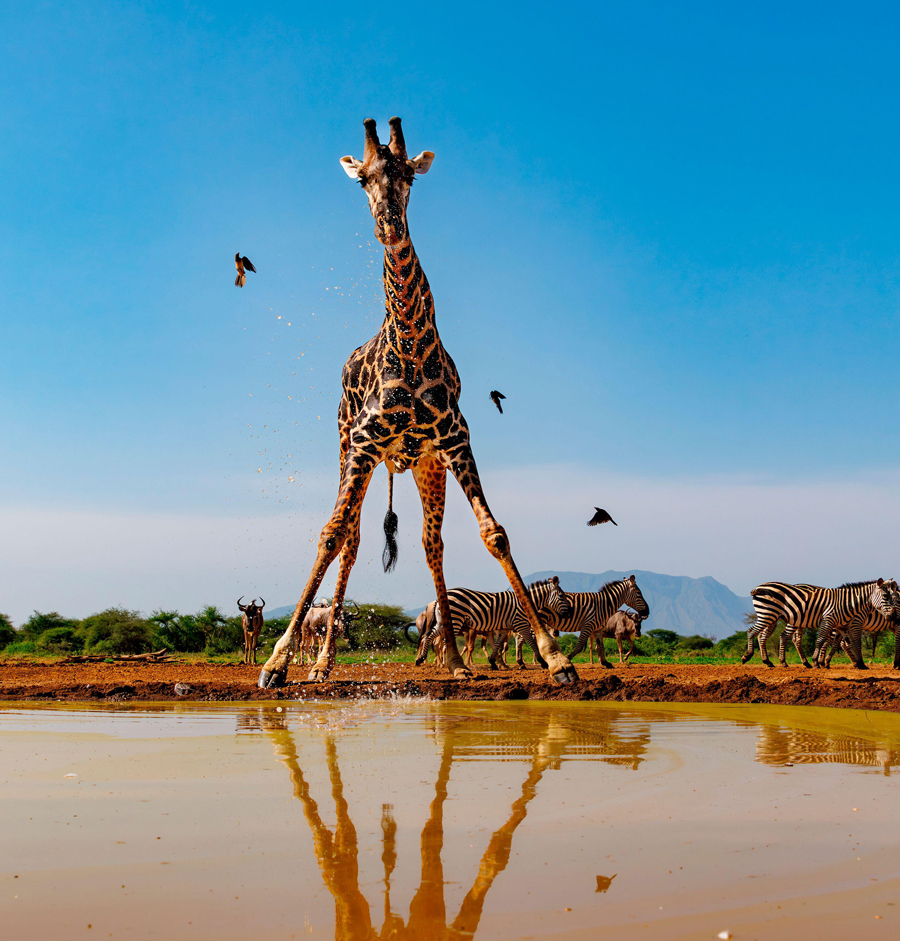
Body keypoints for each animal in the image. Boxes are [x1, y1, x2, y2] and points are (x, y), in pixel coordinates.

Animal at [415, 577, 571, 671]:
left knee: (428, 636)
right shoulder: (521, 624)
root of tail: (439, 598)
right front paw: (542, 662)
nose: (568, 612)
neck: (524, 604)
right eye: (561, 596)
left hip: (443, 622)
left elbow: (497, 644)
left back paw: (420, 659)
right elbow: (531, 642)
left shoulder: (504, 628)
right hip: (454, 620)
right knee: (437, 640)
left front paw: (493, 662)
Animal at [745, 579, 897, 669]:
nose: (893, 616)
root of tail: (759, 586)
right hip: (769, 615)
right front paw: (817, 661)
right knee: (753, 631)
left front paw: (860, 663)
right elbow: (821, 640)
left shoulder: (842, 626)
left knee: (769, 635)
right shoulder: (830, 620)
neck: (848, 603)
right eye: (885, 596)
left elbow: (850, 643)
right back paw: (748, 656)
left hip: (772, 617)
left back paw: (774, 661)